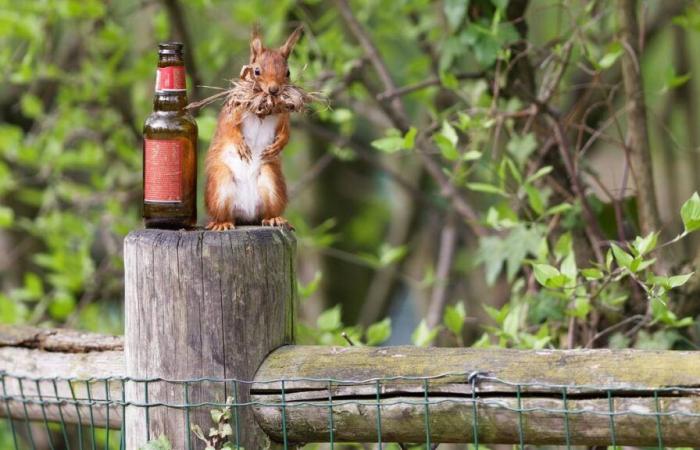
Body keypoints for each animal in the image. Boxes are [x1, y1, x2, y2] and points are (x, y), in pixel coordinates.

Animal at [202, 26, 300, 230]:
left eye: (288, 72)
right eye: (256, 71)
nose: (274, 90)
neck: (263, 108)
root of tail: (246, 215)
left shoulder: (283, 115)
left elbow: (286, 132)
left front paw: (280, 144)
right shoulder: (232, 110)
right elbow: (229, 128)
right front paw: (239, 144)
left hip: (270, 178)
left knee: (268, 211)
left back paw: (274, 218)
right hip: (220, 183)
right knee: (224, 213)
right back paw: (222, 223)